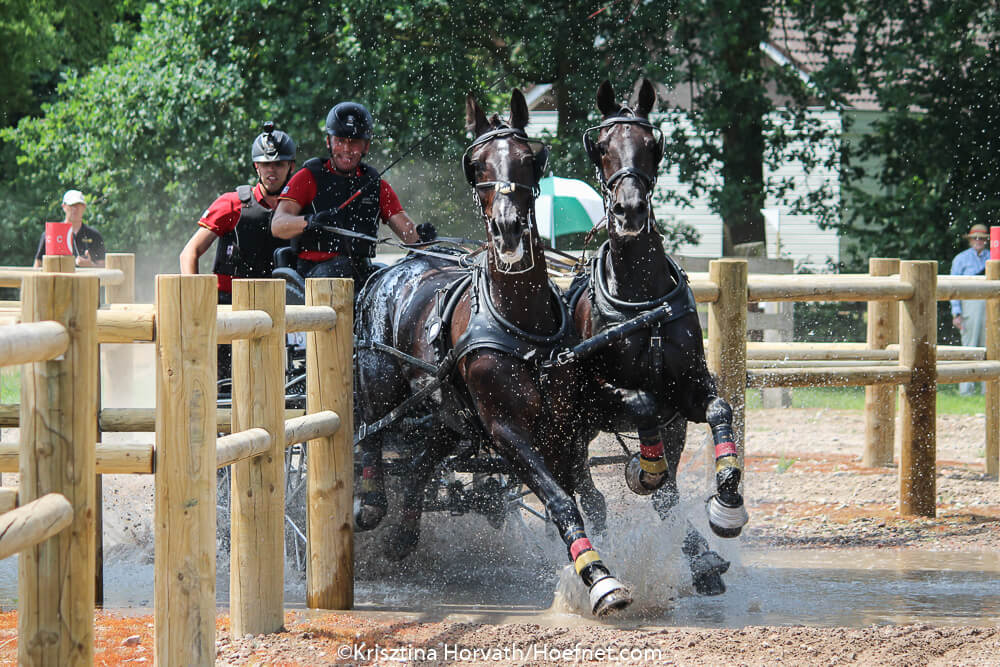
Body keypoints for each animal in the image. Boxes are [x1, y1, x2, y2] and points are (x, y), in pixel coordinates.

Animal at [353, 89, 632, 616]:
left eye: (528, 157)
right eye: (477, 163)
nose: (506, 228)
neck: (521, 324)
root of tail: (392, 268)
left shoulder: (564, 428)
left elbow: (591, 501)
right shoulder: (506, 430)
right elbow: (561, 501)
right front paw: (600, 580)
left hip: (448, 412)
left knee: (420, 463)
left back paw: (402, 537)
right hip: (381, 382)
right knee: (369, 433)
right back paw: (370, 502)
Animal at [566, 79, 749, 596]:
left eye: (651, 145)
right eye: (602, 146)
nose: (629, 211)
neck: (643, 304)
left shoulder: (683, 397)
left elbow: (718, 409)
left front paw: (726, 502)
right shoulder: (601, 395)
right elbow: (641, 407)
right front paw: (641, 472)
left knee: (663, 493)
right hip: (572, 428)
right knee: (588, 493)